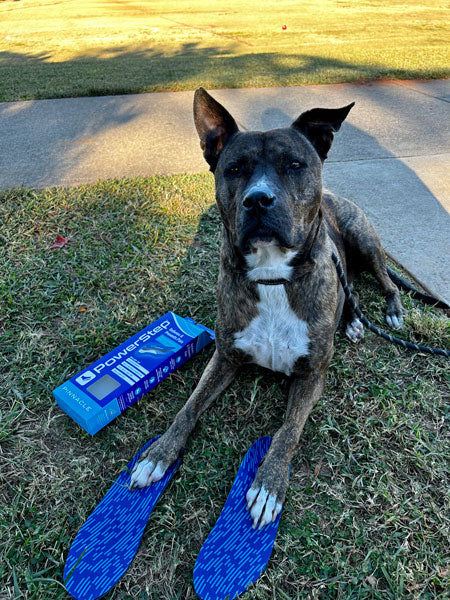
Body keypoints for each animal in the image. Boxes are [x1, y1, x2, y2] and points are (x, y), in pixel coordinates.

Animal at [129, 88, 404, 528]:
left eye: (294, 165)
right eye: (234, 169)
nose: (258, 200)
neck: (272, 275)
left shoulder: (311, 376)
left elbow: (287, 431)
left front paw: (269, 484)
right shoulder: (225, 356)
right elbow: (187, 408)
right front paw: (158, 455)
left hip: (364, 239)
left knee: (384, 280)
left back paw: (385, 312)